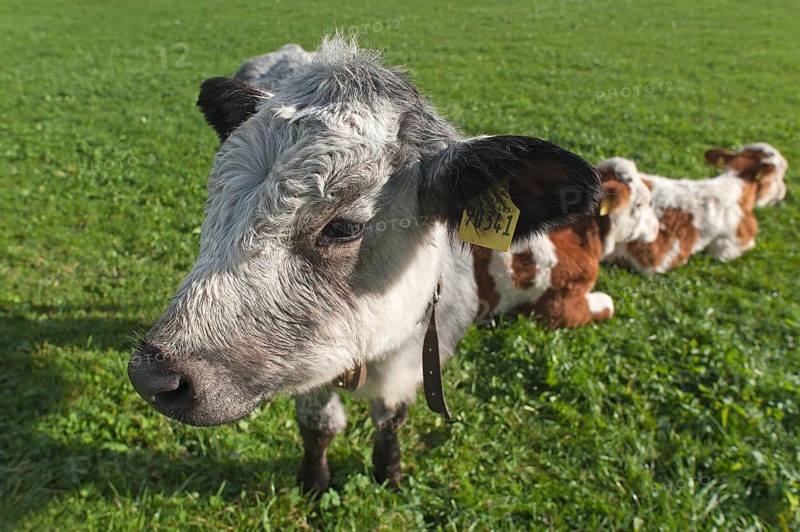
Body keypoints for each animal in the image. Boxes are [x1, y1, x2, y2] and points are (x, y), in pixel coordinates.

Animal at [127, 37, 601, 492]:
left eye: (344, 227)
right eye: (217, 200)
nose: (154, 376)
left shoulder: (412, 362)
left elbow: (390, 418)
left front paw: (388, 472)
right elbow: (318, 424)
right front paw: (313, 481)